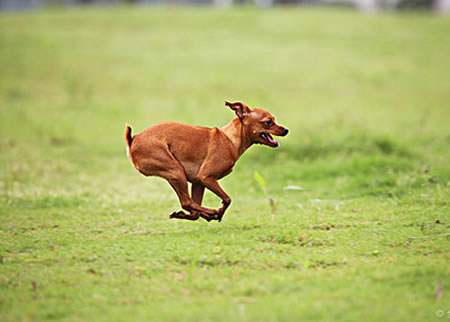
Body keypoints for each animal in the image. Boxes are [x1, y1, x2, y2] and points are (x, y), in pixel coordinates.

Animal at [125, 100, 288, 221]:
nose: (286, 130)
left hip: (175, 176)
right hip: (176, 171)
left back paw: (197, 214)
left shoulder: (198, 182)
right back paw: (211, 212)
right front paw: (219, 212)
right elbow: (227, 199)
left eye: (274, 120)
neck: (230, 139)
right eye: (268, 122)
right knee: (187, 203)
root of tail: (133, 140)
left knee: (190, 208)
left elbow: (198, 209)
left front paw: (213, 214)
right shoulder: (206, 178)